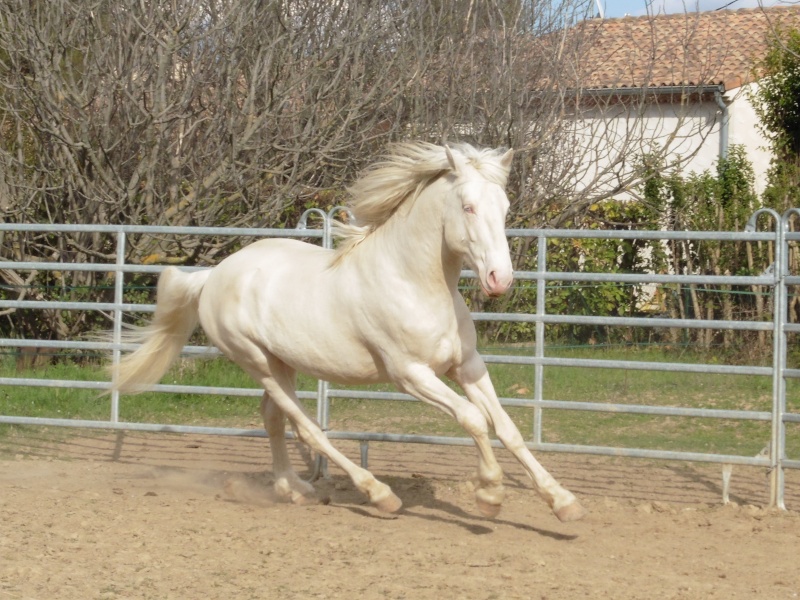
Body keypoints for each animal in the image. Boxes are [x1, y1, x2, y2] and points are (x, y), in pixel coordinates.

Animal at [112, 143, 584, 524]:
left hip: (281, 363)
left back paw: (292, 489)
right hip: (256, 361)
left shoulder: (466, 366)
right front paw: (490, 495)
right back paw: (378, 494)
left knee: (272, 419)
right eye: (468, 206)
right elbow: (473, 419)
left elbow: (507, 428)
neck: (414, 284)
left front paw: (562, 502)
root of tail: (213, 275)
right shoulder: (411, 374)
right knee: (307, 428)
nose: (500, 279)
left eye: (503, 207)